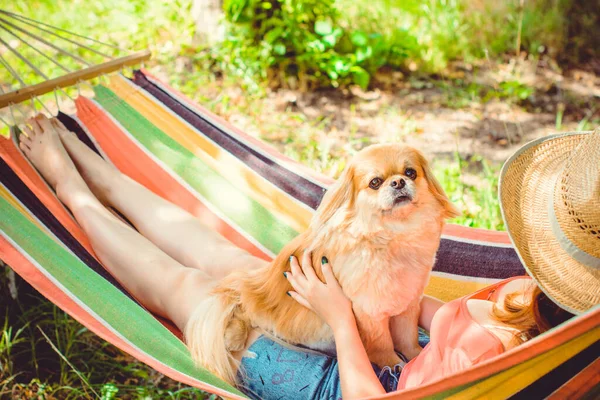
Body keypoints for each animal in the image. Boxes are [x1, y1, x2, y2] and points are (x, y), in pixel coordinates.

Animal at [188, 145, 460, 384]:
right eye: (375, 182)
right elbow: (382, 344)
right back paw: (234, 336)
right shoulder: (369, 312)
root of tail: (257, 279)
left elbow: (407, 338)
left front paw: (418, 359)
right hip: (257, 302)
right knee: (241, 303)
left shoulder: (407, 304)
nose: (398, 182)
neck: (395, 238)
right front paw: (395, 365)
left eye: (410, 173)